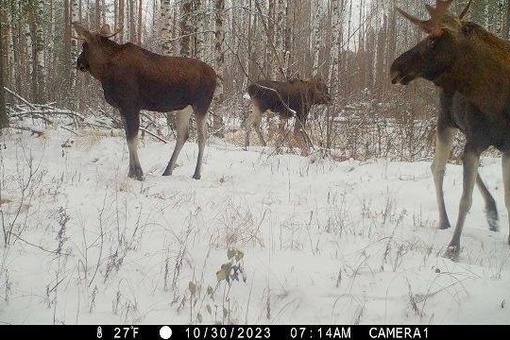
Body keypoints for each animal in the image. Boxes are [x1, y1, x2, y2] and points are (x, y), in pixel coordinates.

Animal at [71, 21, 215, 181]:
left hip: (201, 104)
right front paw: (131, 172)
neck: (104, 72)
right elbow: (128, 137)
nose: (78, 63)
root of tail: (216, 76)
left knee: (202, 136)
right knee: (183, 135)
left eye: (84, 45)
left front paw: (139, 173)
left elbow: (132, 138)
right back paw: (167, 171)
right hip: (184, 108)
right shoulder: (122, 108)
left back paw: (196, 173)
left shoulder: (131, 105)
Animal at [390, 0, 510, 258]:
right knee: (437, 168)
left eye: (432, 41)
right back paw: (445, 220)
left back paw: (491, 212)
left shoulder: (507, 147)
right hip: (446, 121)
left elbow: (508, 197)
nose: (394, 67)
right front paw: (453, 248)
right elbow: (465, 199)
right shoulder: (475, 140)